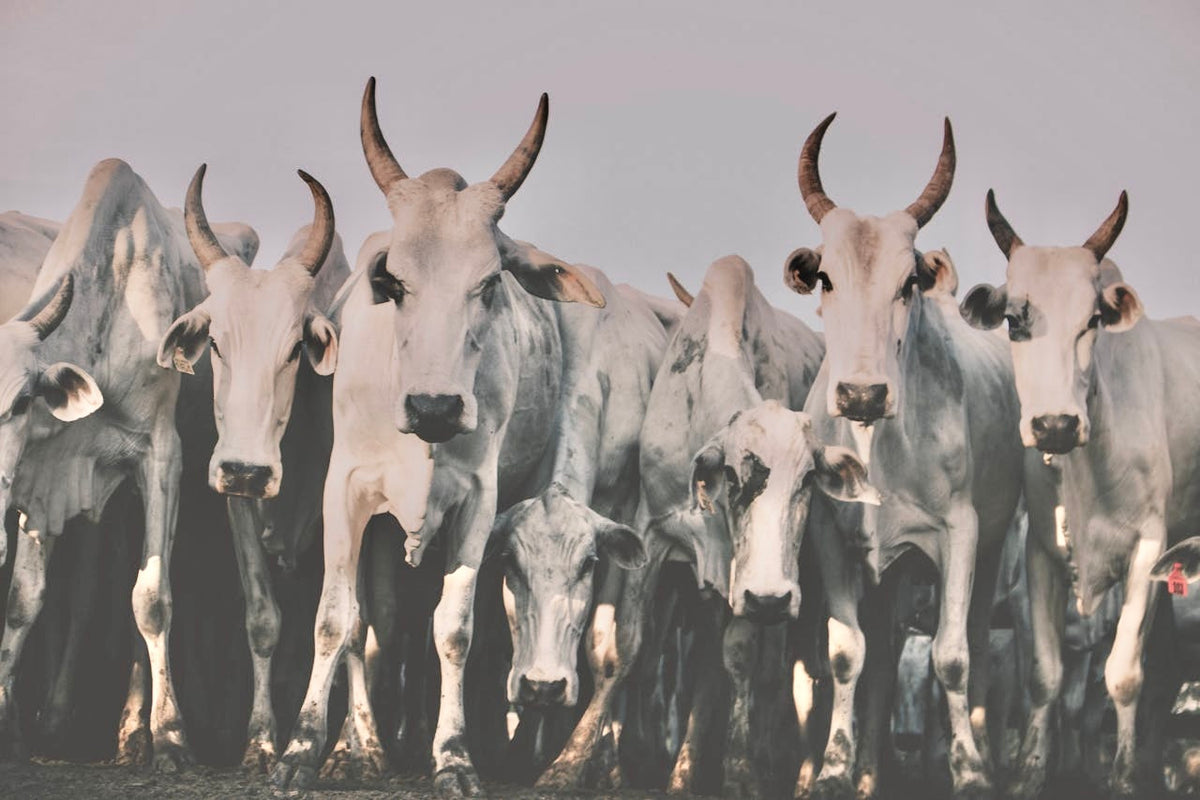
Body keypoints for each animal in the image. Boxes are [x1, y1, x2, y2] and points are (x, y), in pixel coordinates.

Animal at [0, 159, 258, 771]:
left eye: (19, 403)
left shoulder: (162, 458)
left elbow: (152, 600)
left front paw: (172, 735)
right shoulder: (45, 483)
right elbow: (24, 601)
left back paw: (144, 732)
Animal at [156, 164, 346, 771]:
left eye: (293, 350)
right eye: (215, 343)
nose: (247, 469)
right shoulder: (237, 507)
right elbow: (263, 620)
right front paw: (261, 740)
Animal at [270, 78, 608, 797]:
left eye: (490, 282)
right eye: (394, 282)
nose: (435, 407)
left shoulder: (479, 504)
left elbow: (454, 631)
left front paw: (452, 755)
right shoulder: (345, 492)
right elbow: (335, 619)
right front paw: (302, 748)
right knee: (374, 623)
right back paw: (372, 744)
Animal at [783, 114, 1026, 799]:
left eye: (907, 282)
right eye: (826, 278)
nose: (862, 393)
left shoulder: (961, 533)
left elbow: (951, 657)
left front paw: (967, 769)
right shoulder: (833, 538)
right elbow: (848, 656)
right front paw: (835, 768)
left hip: (990, 551)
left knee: (974, 646)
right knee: (885, 662)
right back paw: (871, 768)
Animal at [960, 188, 1200, 798]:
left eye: (1092, 319)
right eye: (1014, 320)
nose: (1055, 426)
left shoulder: (1148, 549)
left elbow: (1123, 674)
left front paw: (1123, 777)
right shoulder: (1042, 552)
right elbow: (1045, 676)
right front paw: (1029, 772)